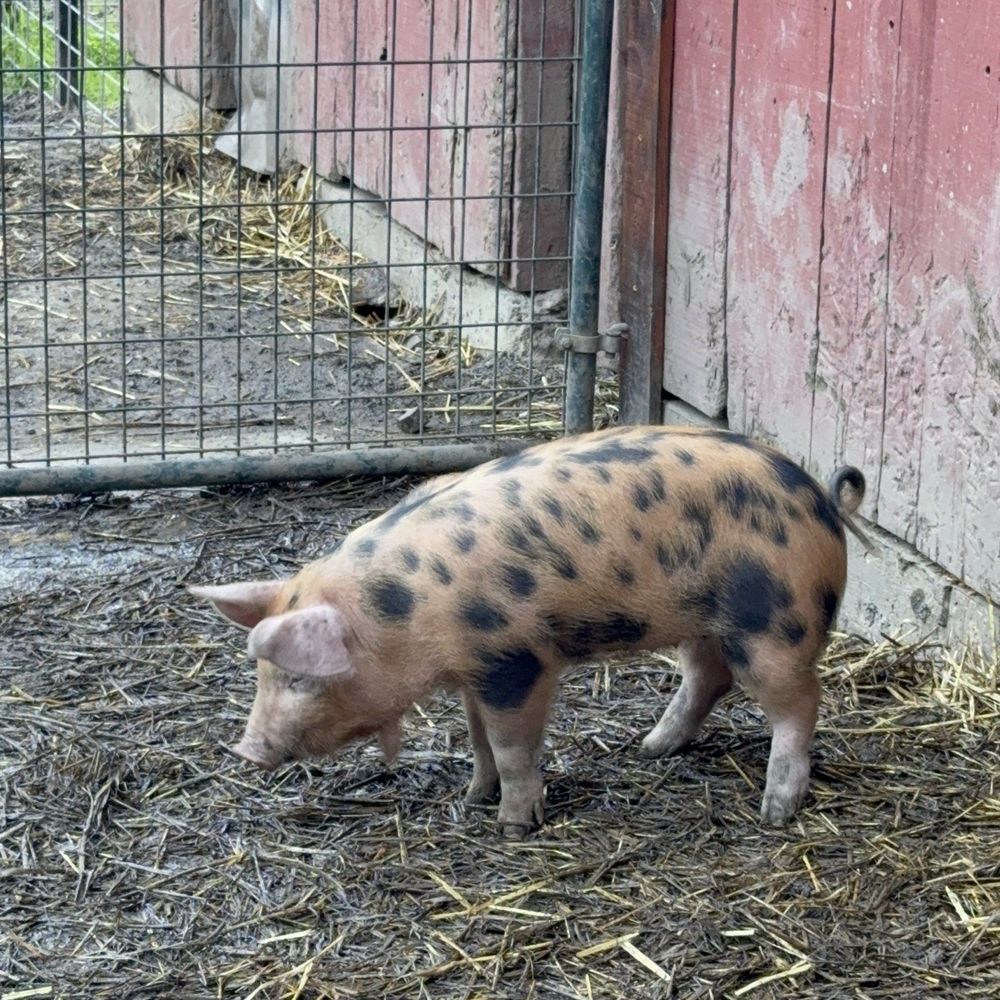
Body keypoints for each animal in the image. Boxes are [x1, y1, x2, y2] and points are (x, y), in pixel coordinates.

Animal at [190, 425, 867, 836]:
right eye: (263, 675)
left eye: (300, 680)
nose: (245, 749)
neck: (402, 610)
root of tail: (824, 502)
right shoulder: (472, 671)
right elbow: (477, 738)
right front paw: (470, 799)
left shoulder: (516, 659)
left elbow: (513, 745)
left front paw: (513, 826)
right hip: (704, 620)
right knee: (708, 676)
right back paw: (648, 749)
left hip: (775, 624)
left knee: (800, 702)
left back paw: (775, 811)